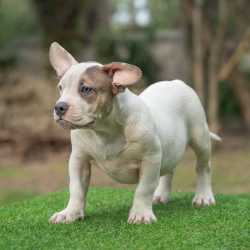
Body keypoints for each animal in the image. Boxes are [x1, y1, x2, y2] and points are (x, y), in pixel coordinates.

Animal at [47, 42, 220, 224]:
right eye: (60, 88)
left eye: (86, 89)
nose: (59, 106)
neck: (104, 130)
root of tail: (177, 82)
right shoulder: (79, 159)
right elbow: (76, 188)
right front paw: (70, 212)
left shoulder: (150, 158)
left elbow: (144, 188)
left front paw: (141, 214)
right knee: (169, 169)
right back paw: (161, 195)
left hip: (200, 137)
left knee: (203, 167)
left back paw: (203, 197)